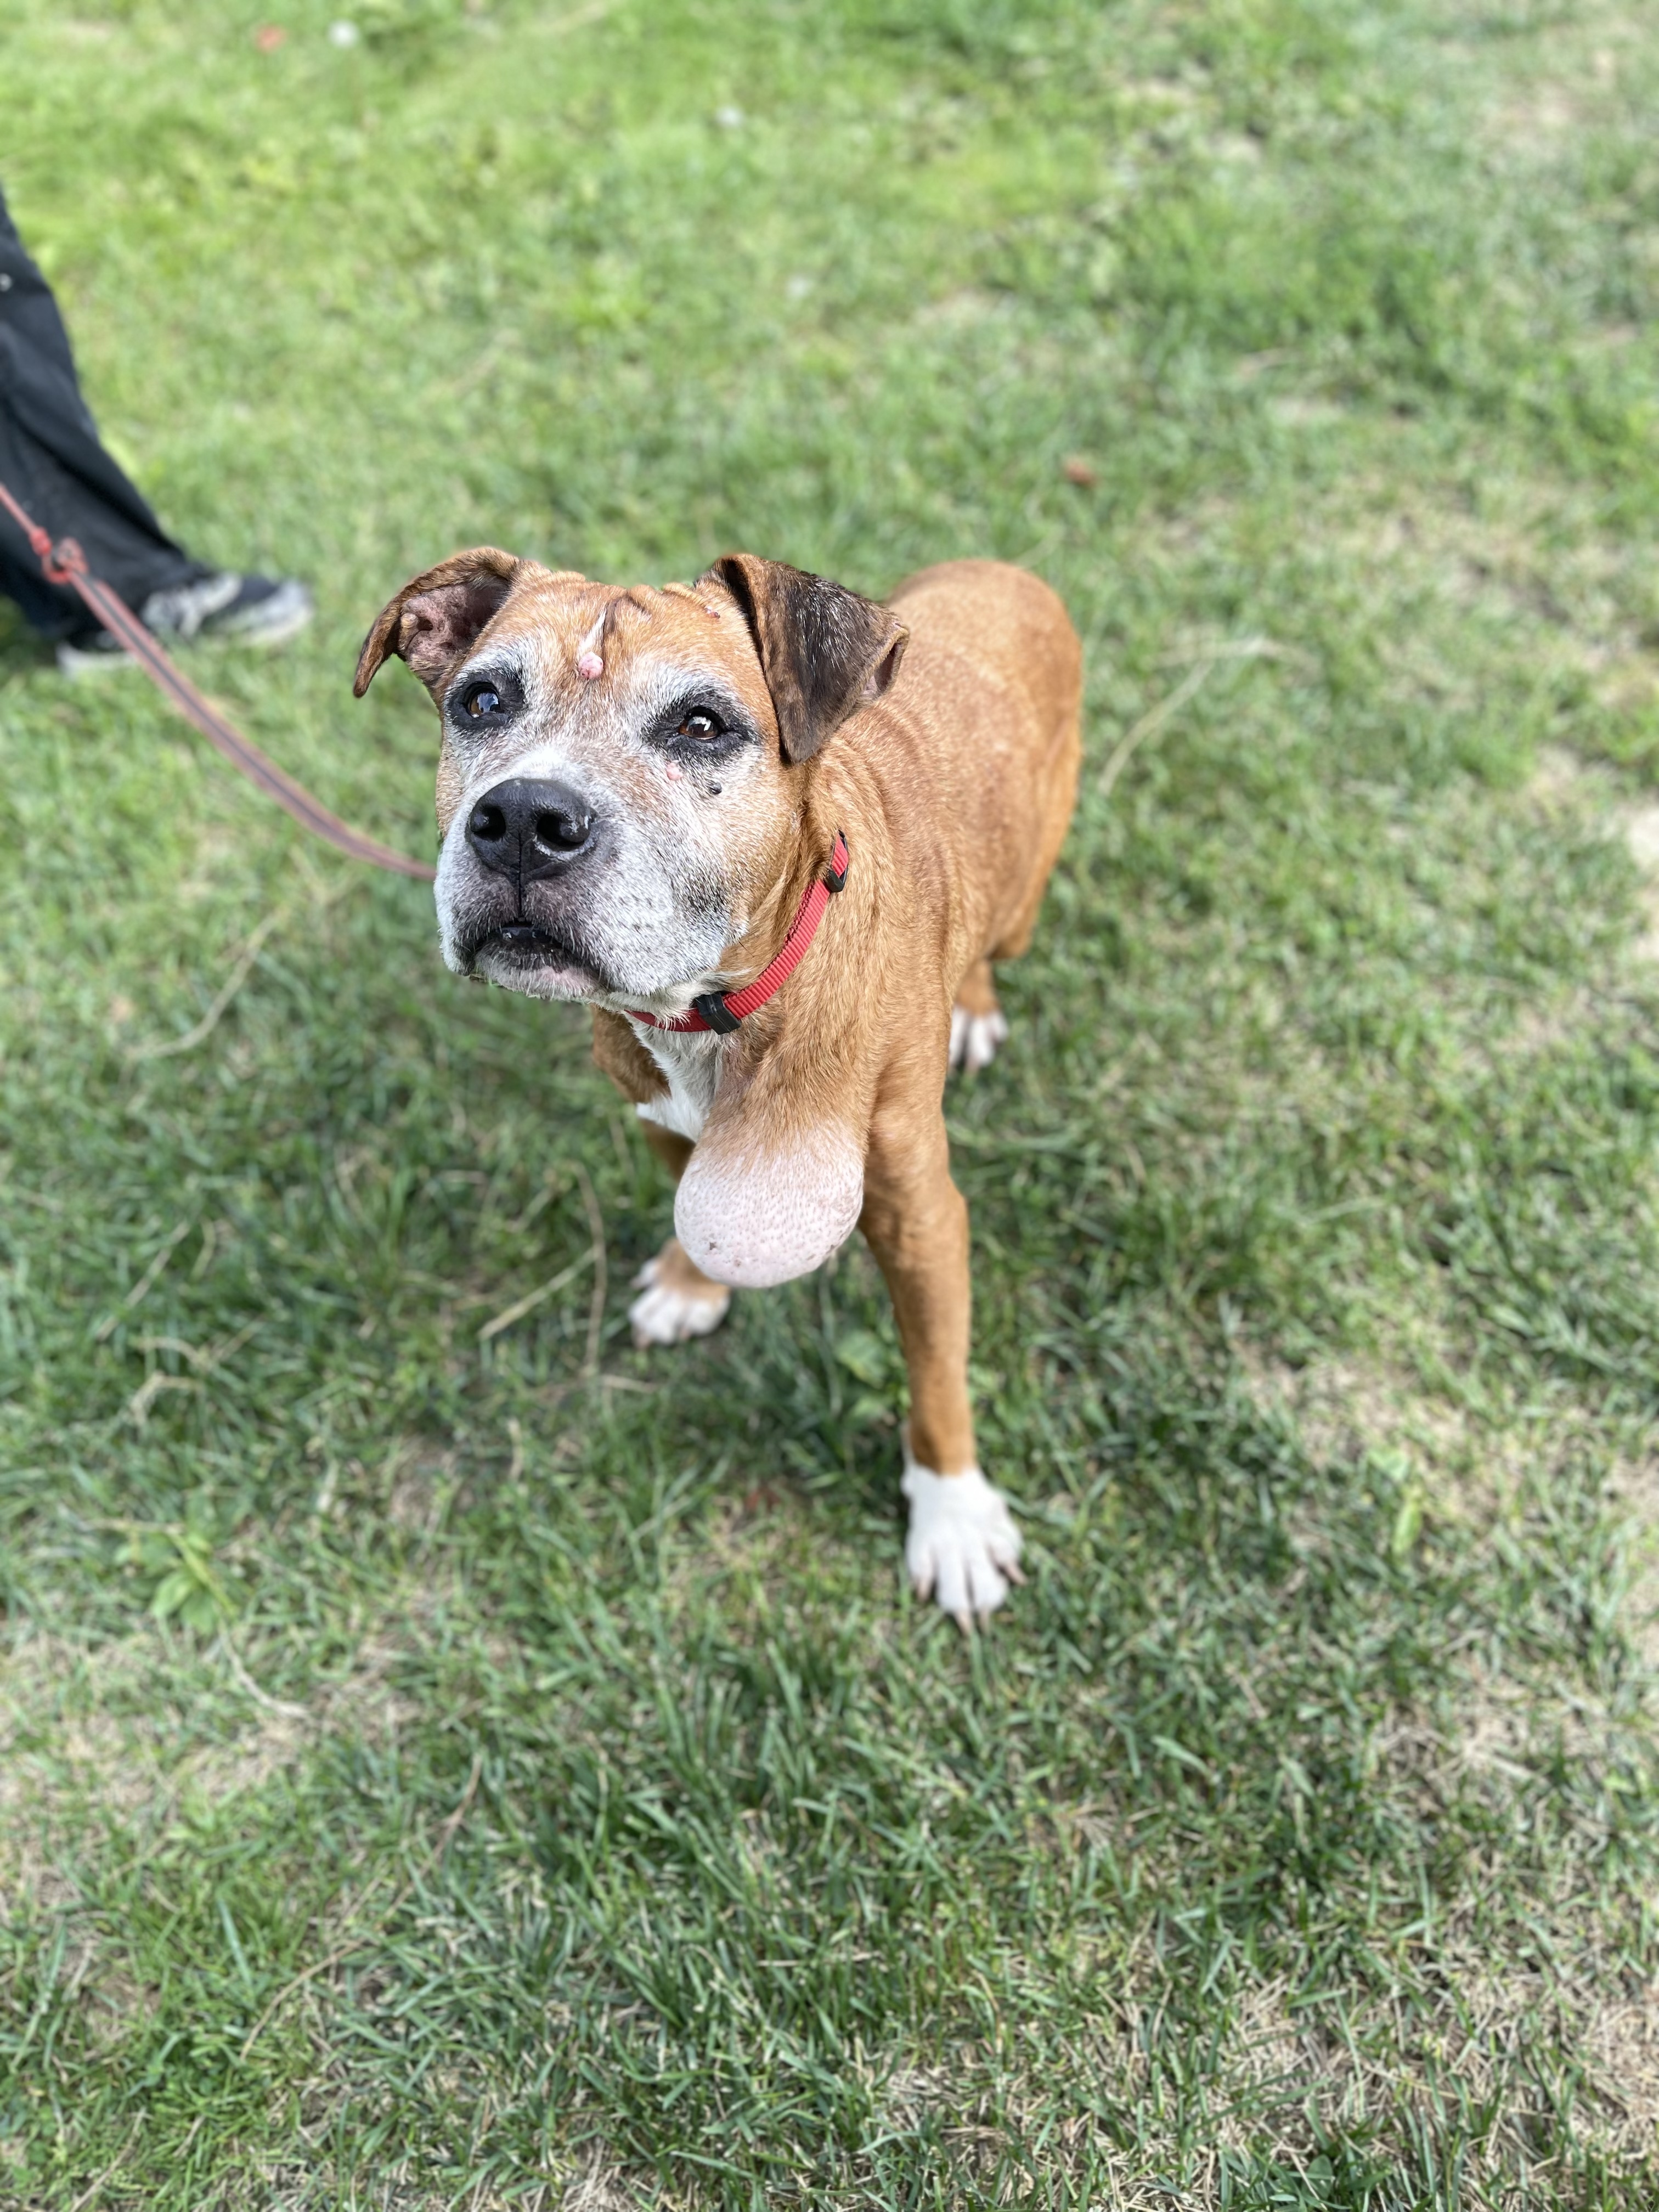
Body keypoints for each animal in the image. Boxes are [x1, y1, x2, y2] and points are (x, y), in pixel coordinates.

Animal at [356, 551, 1081, 1623]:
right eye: (481, 701)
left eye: (700, 725)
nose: (523, 820)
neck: (711, 1011)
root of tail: (1005, 570)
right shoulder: (657, 1118)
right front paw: (692, 1284)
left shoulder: (918, 1218)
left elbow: (936, 1374)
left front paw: (951, 1514)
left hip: (1026, 894)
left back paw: (975, 1010)